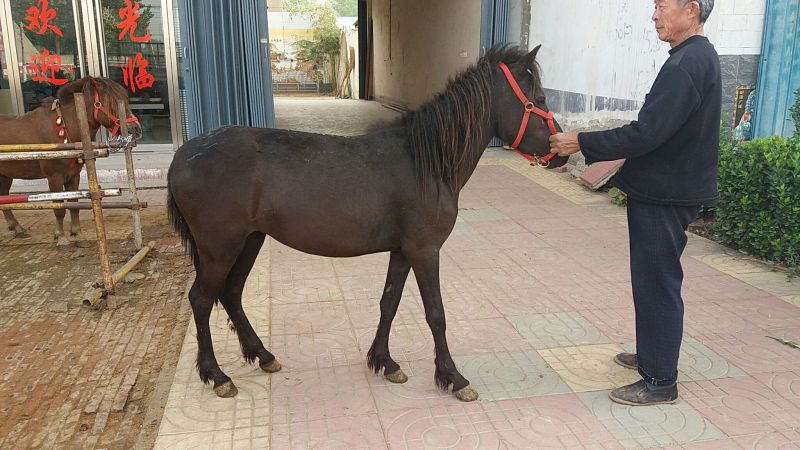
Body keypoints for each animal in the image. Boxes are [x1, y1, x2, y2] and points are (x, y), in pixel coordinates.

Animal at [0, 77, 142, 249]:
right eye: (110, 101)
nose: (136, 128)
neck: (63, 128)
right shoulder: (54, 177)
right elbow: (59, 208)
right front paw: (62, 238)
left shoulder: (73, 175)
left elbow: (74, 205)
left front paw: (78, 235)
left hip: (5, 175)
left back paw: (17, 228)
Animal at [167, 44, 568, 402]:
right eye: (540, 98)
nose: (561, 154)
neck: (426, 161)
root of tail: (183, 156)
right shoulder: (425, 251)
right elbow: (436, 313)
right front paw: (453, 378)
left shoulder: (403, 251)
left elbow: (388, 302)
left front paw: (385, 363)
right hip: (220, 247)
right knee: (202, 299)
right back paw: (218, 376)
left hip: (250, 240)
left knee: (231, 294)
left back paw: (263, 356)